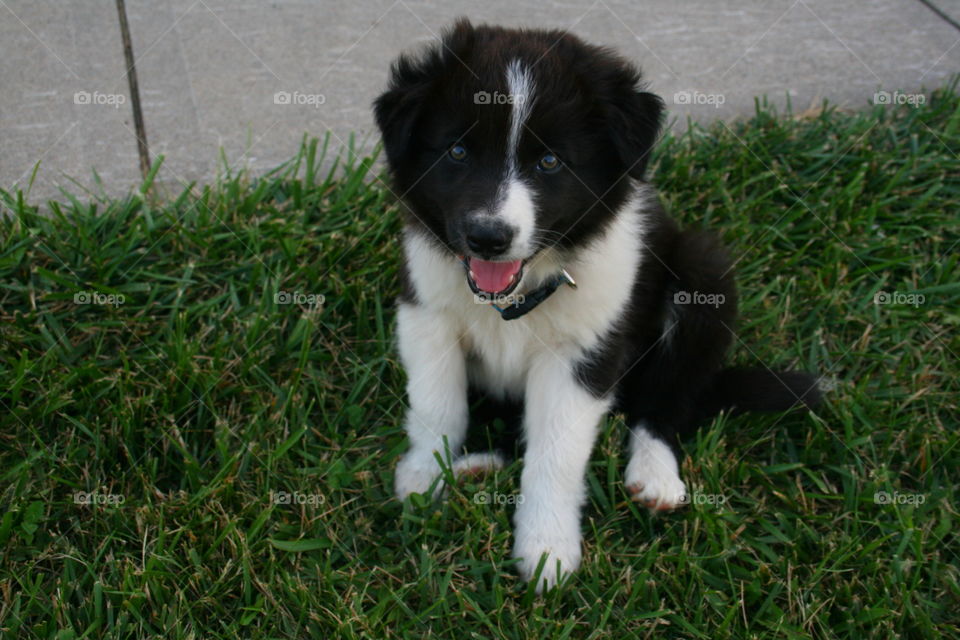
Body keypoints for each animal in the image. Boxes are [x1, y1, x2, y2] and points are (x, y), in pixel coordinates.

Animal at [372, 18, 820, 592]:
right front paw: (425, 477)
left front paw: (546, 551)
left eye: (549, 161)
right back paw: (477, 465)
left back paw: (654, 475)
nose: (488, 238)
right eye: (457, 152)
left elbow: (556, 454)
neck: (518, 291)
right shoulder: (427, 313)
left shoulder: (584, 353)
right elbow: (437, 405)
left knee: (665, 401)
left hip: (703, 278)